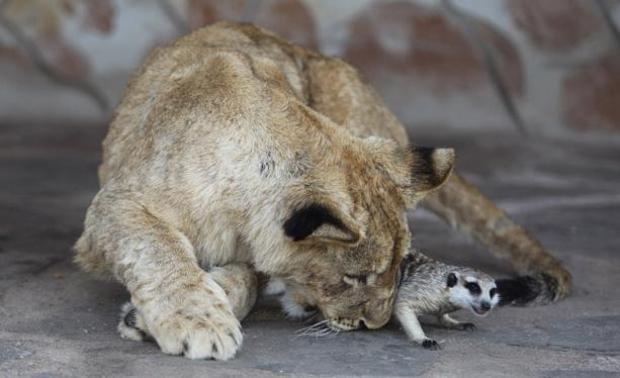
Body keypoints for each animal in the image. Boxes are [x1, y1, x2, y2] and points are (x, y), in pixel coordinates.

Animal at [72, 21, 572, 360]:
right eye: (356, 278)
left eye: (398, 269)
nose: (375, 324)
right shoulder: (114, 206)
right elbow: (158, 248)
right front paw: (198, 321)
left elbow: (249, 277)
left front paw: (183, 308)